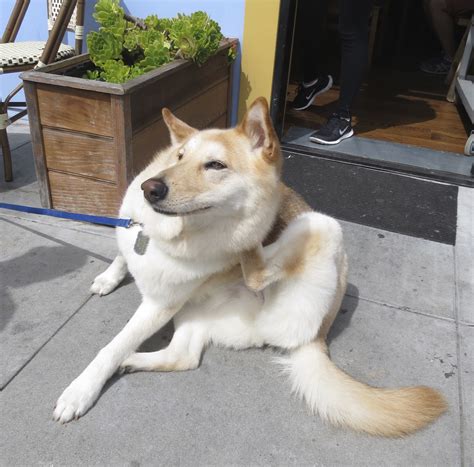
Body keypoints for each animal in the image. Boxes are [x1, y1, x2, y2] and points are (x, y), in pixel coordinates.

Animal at [53, 97, 446, 436]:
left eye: (216, 165)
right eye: (180, 156)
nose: (151, 188)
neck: (170, 234)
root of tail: (317, 339)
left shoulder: (158, 307)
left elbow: (110, 347)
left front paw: (81, 390)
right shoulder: (134, 237)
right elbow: (122, 255)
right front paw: (109, 277)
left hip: (322, 226)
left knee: (260, 268)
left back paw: (252, 241)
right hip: (193, 315)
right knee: (184, 357)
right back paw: (134, 360)